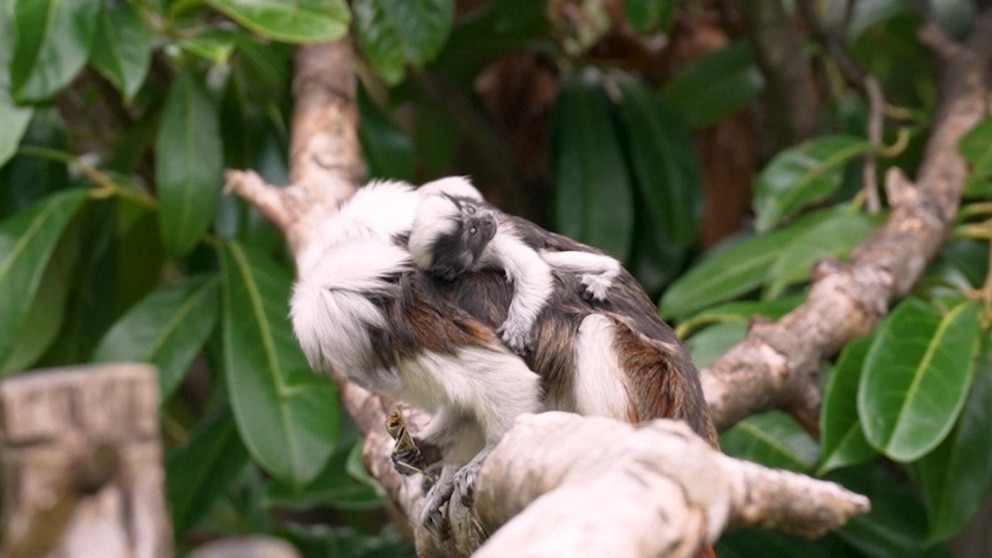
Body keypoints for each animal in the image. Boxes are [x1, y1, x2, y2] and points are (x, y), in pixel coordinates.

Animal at [406, 177, 616, 356]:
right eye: (473, 231)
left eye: (472, 211)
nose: (488, 219)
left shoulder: (495, 242)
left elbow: (532, 269)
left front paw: (518, 326)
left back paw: (609, 272)